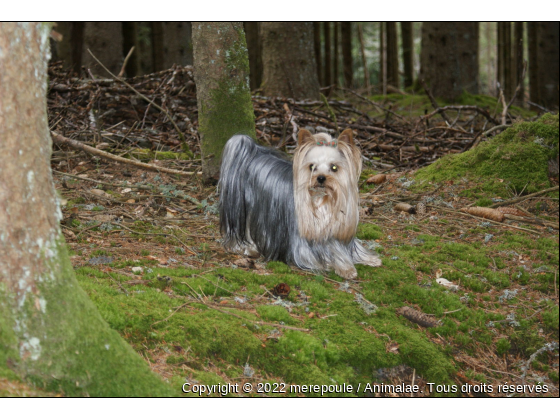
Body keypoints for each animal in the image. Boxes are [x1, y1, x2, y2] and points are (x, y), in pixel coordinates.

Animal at [218, 128, 380, 278]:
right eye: (311, 166)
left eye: (334, 167)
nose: (321, 178)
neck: (323, 200)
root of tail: (252, 153)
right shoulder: (302, 244)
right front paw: (338, 265)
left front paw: (367, 261)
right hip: (244, 208)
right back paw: (247, 248)